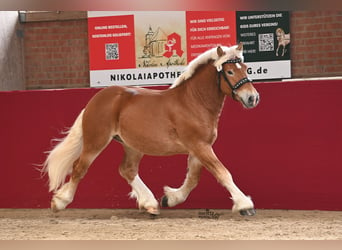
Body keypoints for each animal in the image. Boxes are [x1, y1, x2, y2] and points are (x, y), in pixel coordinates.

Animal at [44, 43, 260, 215]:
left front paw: (170, 198)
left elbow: (193, 179)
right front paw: (244, 205)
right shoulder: (199, 146)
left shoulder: (200, 148)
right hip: (96, 141)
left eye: (246, 68)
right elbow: (222, 172)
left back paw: (150, 204)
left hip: (132, 145)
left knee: (127, 169)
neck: (194, 102)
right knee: (79, 167)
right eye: (230, 72)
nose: (252, 98)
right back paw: (60, 202)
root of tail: (95, 100)